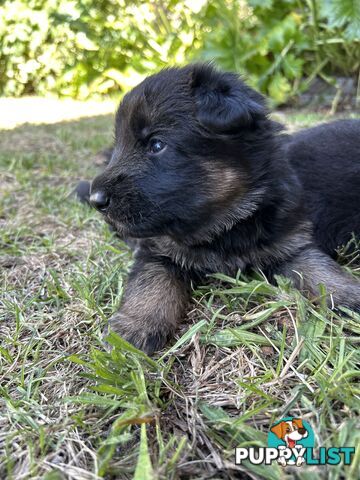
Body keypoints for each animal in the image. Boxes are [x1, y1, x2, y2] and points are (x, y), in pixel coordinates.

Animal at [83, 63, 358, 354]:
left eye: (156, 145)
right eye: (120, 145)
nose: (96, 199)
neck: (223, 225)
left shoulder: (289, 243)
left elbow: (319, 268)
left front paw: (350, 294)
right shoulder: (156, 251)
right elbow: (150, 282)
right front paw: (133, 326)